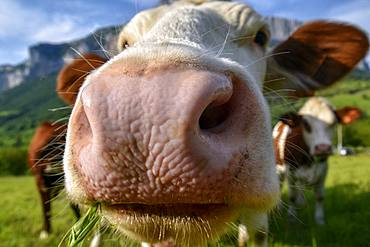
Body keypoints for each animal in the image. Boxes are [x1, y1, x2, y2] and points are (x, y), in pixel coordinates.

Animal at [272, 97, 362, 226]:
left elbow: (320, 196)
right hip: (278, 170)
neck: (309, 160)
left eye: (334, 122)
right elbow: (292, 196)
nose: (323, 148)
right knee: (279, 186)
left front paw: (320, 220)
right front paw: (292, 218)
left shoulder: (323, 170)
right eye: (305, 124)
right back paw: (278, 208)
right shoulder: (291, 173)